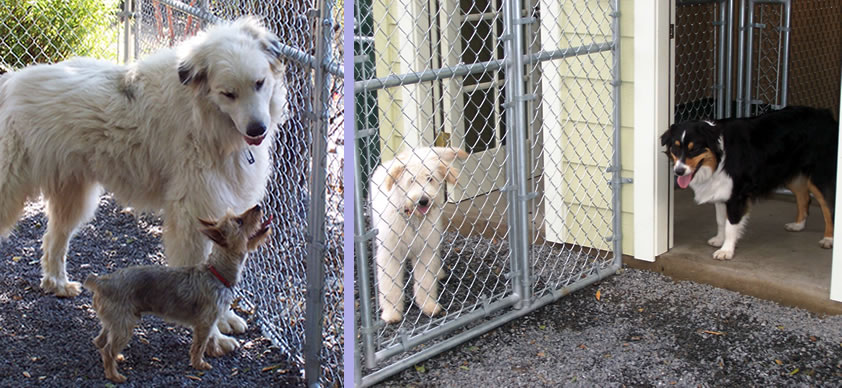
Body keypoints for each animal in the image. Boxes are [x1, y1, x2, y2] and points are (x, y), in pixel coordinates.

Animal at [0, 17, 286, 352]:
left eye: (259, 83)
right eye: (228, 94)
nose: (258, 129)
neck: (202, 114)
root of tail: (10, 83)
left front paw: (225, 318)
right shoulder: (193, 214)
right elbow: (206, 274)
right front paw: (214, 337)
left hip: (73, 195)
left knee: (53, 241)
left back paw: (56, 283)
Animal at [83, 205, 270, 384]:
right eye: (239, 221)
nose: (258, 207)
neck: (217, 272)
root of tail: (102, 282)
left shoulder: (209, 322)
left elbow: (210, 339)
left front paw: (214, 352)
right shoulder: (205, 322)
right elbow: (199, 345)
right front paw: (199, 363)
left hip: (115, 321)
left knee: (100, 340)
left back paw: (115, 358)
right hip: (124, 325)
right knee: (108, 350)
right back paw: (114, 375)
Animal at [370, 146, 470, 322]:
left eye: (430, 179)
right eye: (411, 180)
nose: (423, 200)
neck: (412, 218)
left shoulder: (426, 250)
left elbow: (426, 281)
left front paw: (428, 305)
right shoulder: (390, 253)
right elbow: (390, 286)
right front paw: (391, 313)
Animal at [660, 105, 836, 260]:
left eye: (694, 149)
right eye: (675, 148)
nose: (679, 171)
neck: (720, 157)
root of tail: (825, 113)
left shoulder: (737, 194)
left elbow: (731, 223)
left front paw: (726, 250)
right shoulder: (721, 190)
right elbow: (720, 220)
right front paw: (719, 239)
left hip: (819, 174)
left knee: (828, 206)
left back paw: (829, 239)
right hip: (790, 172)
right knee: (803, 197)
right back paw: (798, 225)